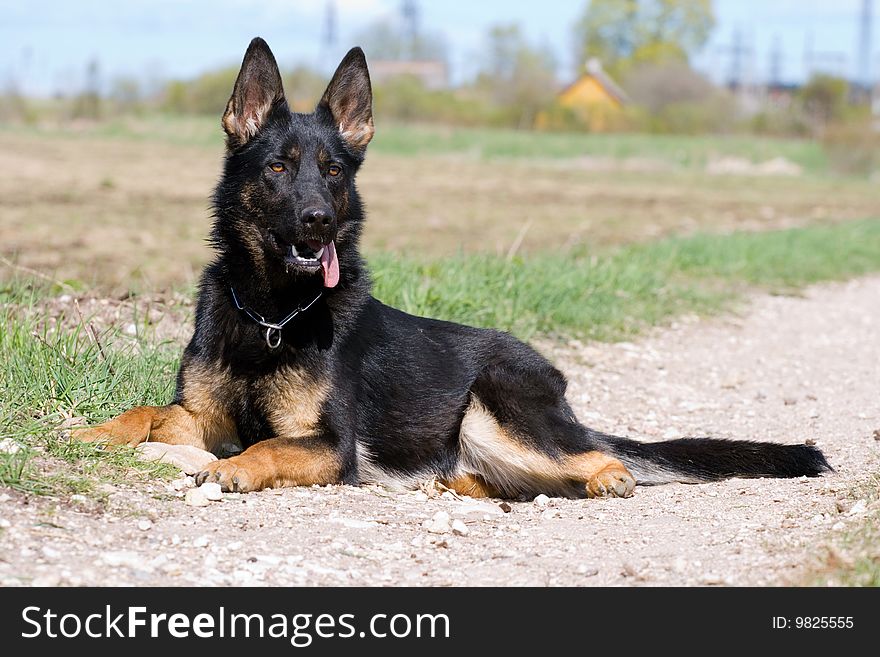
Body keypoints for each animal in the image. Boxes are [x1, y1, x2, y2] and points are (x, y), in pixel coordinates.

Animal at [72, 39, 828, 498]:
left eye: (334, 171)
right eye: (280, 168)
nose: (318, 222)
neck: (272, 311)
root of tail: (559, 392)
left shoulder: (329, 446)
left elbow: (265, 450)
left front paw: (237, 471)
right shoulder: (203, 415)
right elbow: (149, 411)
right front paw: (93, 431)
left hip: (494, 409)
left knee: (592, 461)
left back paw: (605, 477)